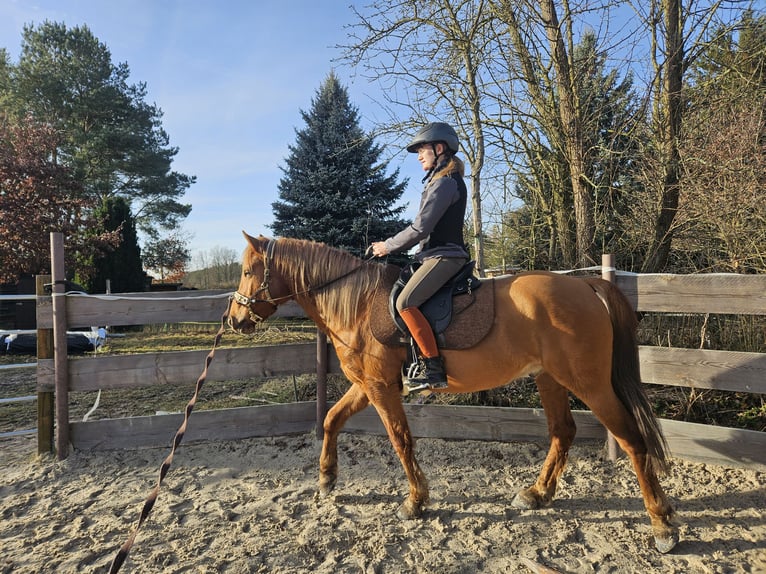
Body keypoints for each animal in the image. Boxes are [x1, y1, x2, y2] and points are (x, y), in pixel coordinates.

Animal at [230, 233, 684, 552]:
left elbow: (400, 439)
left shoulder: (380, 388)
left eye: (250, 272)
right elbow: (330, 419)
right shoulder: (367, 384)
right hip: (549, 378)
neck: (356, 303)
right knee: (563, 431)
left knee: (631, 440)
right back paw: (537, 494)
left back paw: (662, 525)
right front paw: (326, 479)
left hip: (588, 383)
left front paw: (416, 501)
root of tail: (587, 285)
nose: (234, 319)